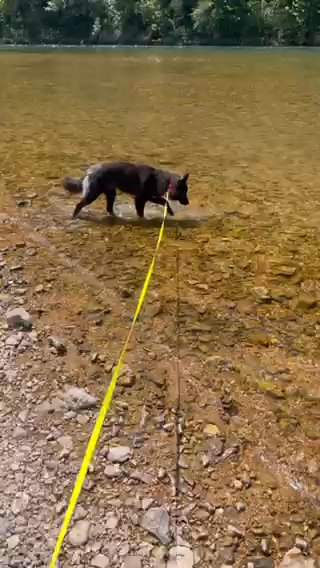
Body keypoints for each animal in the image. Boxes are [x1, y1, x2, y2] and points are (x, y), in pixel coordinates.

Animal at [61, 162, 189, 222]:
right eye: (185, 191)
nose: (188, 203)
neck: (166, 181)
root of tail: (89, 171)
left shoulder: (149, 198)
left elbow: (164, 201)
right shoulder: (142, 198)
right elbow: (163, 202)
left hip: (111, 193)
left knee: (109, 209)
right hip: (93, 194)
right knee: (79, 205)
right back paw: (74, 217)